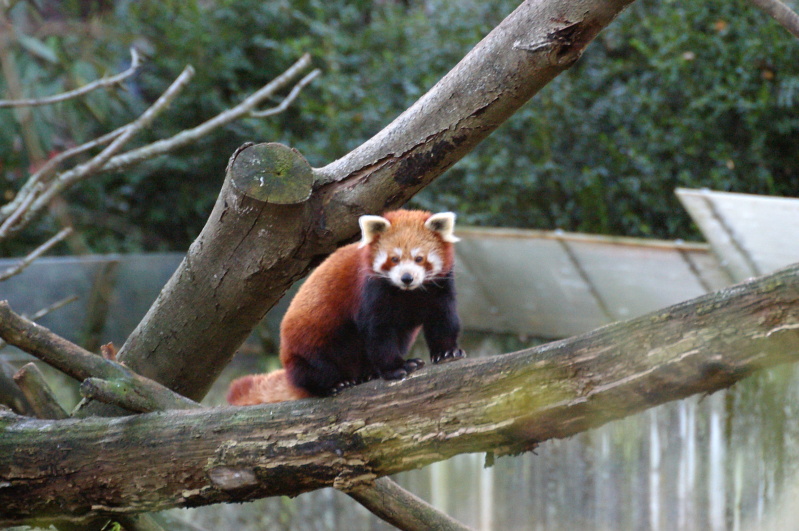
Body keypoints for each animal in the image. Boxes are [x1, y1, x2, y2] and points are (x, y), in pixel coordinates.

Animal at [225, 210, 466, 406]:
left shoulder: (439, 289)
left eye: (419, 258)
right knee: (316, 369)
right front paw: (398, 367)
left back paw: (366, 374)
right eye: (394, 259)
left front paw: (447, 351)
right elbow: (378, 334)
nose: (406, 278)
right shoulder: (371, 292)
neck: (408, 293)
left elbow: (442, 319)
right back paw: (334, 383)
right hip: (308, 348)